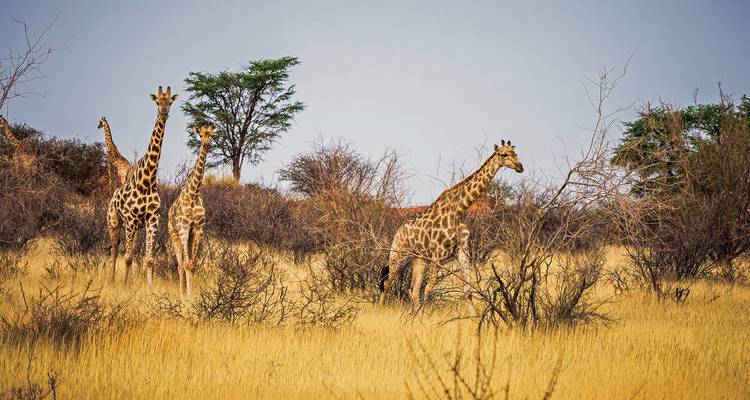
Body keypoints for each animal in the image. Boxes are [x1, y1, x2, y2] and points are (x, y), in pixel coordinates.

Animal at [107, 86, 177, 288]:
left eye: (170, 102)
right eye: (157, 102)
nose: (164, 112)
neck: (147, 181)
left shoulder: (152, 219)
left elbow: (148, 259)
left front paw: (149, 288)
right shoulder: (130, 219)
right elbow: (128, 257)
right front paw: (123, 286)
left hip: (136, 227)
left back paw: (129, 280)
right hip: (114, 222)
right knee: (115, 251)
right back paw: (112, 280)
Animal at [168, 124, 213, 297]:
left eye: (211, 135)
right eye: (200, 135)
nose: (206, 144)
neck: (193, 194)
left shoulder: (198, 229)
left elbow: (193, 264)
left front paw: (191, 294)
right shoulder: (183, 229)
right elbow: (186, 264)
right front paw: (188, 295)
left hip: (189, 235)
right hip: (174, 234)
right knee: (179, 264)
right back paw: (181, 292)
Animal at [379, 140, 524, 304]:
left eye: (515, 153)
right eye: (503, 154)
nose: (520, 167)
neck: (459, 210)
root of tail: (398, 231)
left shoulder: (463, 252)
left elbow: (468, 291)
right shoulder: (438, 255)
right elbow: (429, 289)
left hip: (419, 259)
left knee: (413, 290)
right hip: (398, 254)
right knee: (387, 283)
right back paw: (382, 307)